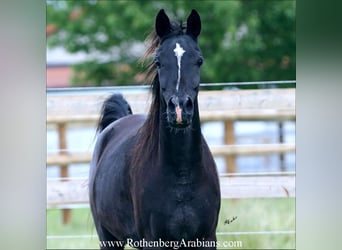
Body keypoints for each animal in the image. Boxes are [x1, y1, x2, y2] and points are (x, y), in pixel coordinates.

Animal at [89, 8, 220, 249]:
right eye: (158, 61)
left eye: (199, 60)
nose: (179, 109)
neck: (182, 175)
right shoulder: (154, 241)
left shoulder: (207, 238)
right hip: (108, 238)